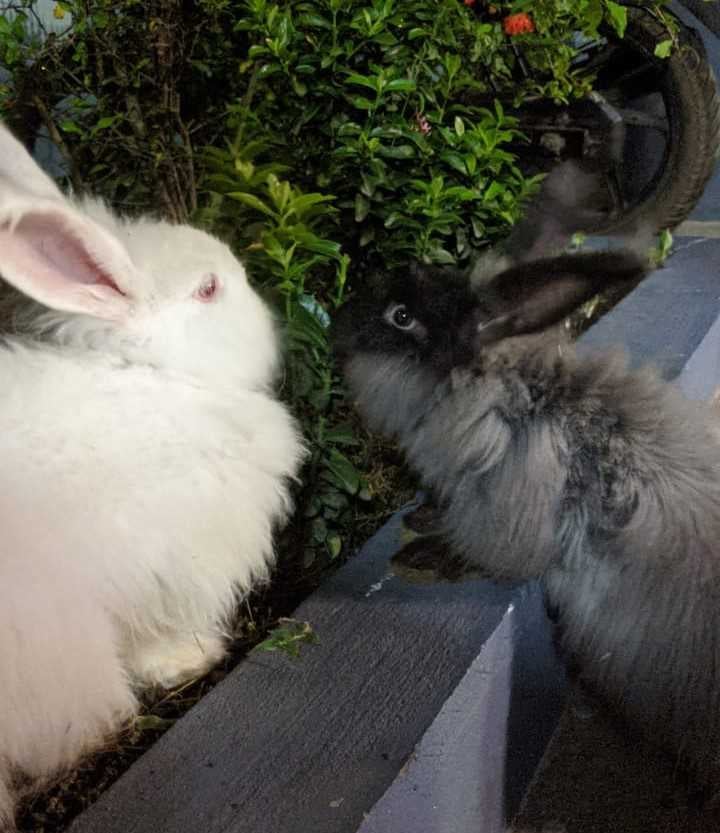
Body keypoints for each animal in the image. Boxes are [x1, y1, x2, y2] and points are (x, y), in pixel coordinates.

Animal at [0, 123, 305, 828]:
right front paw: (192, 659)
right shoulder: (164, 567)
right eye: (209, 289)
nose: (262, 300)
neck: (163, 378)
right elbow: (158, 632)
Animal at [333, 245, 720, 794]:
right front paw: (424, 516)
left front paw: (423, 554)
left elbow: (480, 552)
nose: (335, 325)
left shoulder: (504, 513)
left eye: (401, 317)